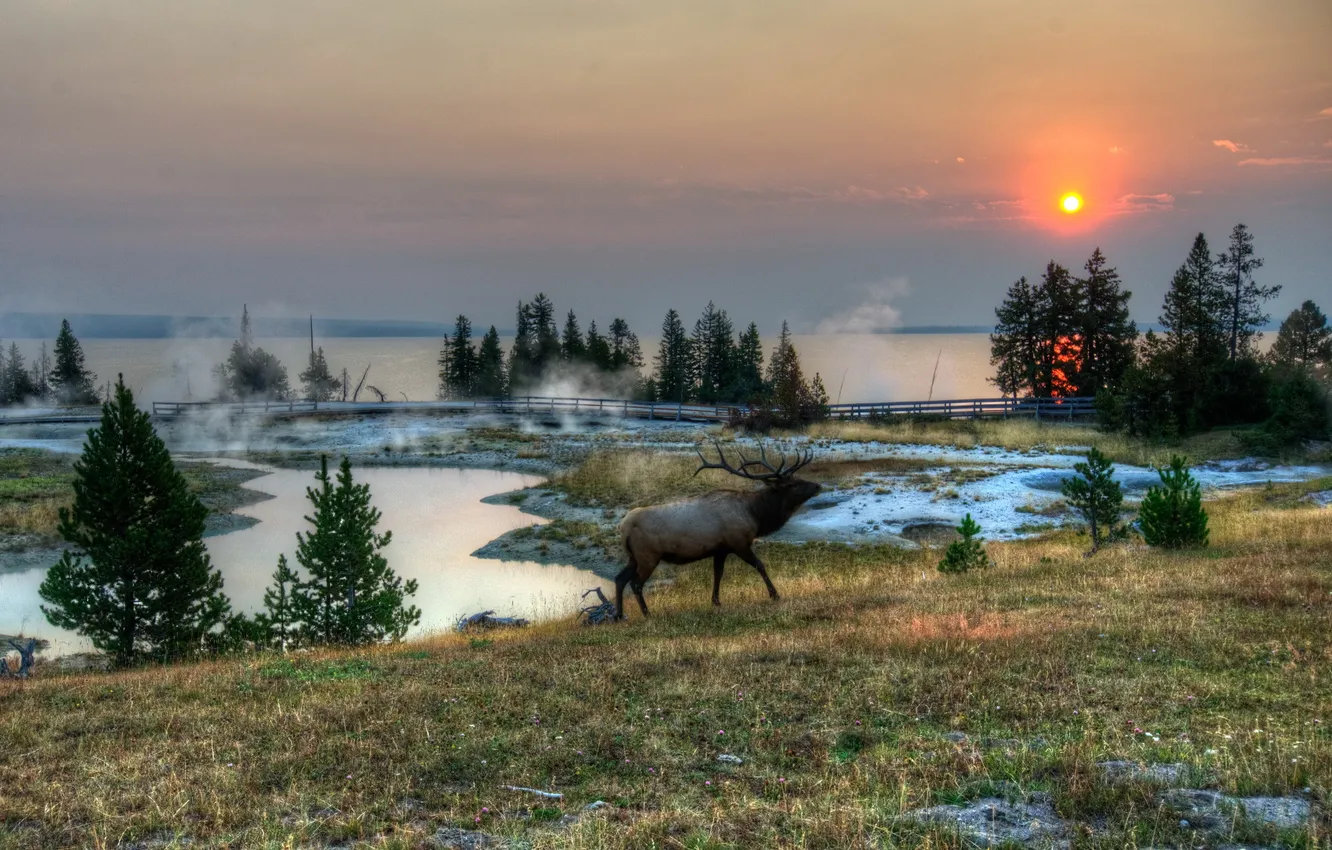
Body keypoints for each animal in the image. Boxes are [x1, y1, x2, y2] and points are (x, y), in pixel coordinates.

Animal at [614, 439, 821, 619]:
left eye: (798, 478)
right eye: (791, 484)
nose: (818, 485)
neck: (756, 515)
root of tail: (624, 527)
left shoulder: (721, 549)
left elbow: (718, 573)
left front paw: (716, 601)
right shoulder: (739, 542)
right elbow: (760, 565)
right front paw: (775, 595)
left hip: (634, 557)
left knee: (619, 579)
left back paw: (619, 615)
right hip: (648, 555)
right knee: (636, 583)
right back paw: (647, 614)